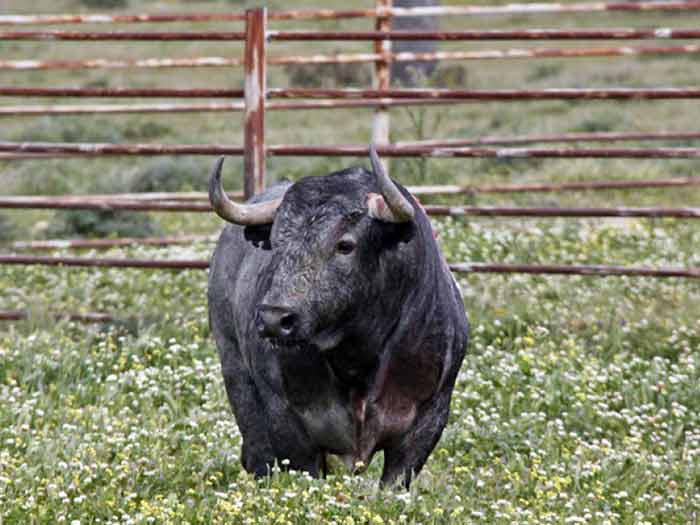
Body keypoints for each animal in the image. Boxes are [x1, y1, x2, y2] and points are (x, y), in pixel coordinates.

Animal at [208, 144, 470, 488]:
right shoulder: (286, 420)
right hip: (237, 375)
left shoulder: (427, 420)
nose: (275, 319)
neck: (357, 359)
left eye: (345, 245)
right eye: (276, 242)